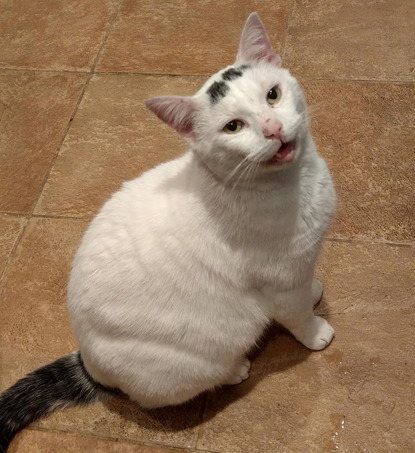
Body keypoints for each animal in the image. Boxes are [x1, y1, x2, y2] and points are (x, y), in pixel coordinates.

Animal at [0, 12, 338, 450]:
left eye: (272, 95)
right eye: (233, 127)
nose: (273, 128)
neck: (298, 182)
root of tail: (88, 362)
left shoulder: (301, 264)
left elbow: (306, 286)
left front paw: (315, 290)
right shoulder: (280, 281)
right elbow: (297, 314)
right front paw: (316, 333)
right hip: (189, 361)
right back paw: (236, 369)